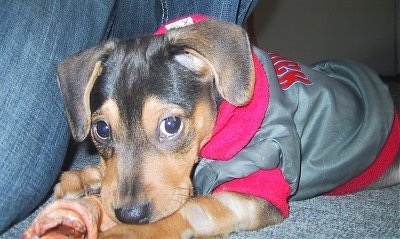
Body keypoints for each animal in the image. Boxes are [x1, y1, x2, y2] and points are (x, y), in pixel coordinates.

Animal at [54, 14, 400, 237]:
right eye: (101, 130)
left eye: (171, 124)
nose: (129, 214)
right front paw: (81, 178)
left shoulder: (253, 192)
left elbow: (185, 210)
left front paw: (122, 230)